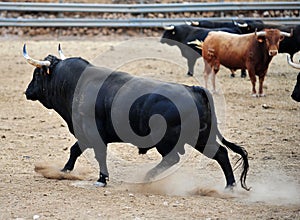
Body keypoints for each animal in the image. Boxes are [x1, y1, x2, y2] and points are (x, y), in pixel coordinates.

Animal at [23, 47, 250, 190]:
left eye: (37, 73)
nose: (27, 91)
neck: (75, 83)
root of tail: (195, 89)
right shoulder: (86, 135)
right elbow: (75, 150)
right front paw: (64, 171)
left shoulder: (94, 134)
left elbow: (98, 155)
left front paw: (101, 179)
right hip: (201, 137)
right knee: (220, 153)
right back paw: (230, 186)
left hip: (171, 140)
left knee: (176, 158)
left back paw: (148, 177)